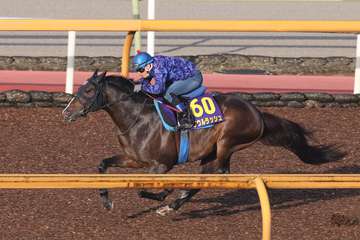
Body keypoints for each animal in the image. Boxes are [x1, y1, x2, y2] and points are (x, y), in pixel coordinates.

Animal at [62, 70, 344, 216]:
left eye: (88, 91)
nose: (66, 112)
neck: (136, 117)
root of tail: (258, 113)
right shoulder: (134, 159)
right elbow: (103, 164)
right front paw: (106, 201)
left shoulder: (161, 165)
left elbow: (147, 188)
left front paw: (163, 193)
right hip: (212, 152)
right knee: (206, 177)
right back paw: (174, 204)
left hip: (227, 142)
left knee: (218, 174)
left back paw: (172, 202)